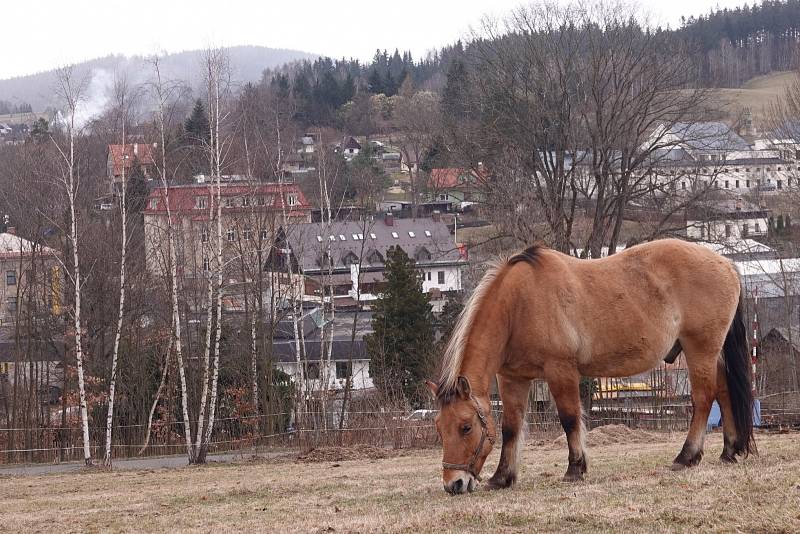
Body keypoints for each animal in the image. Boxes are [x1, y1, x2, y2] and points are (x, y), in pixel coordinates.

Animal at [428, 241, 752, 496]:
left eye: (466, 427)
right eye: (440, 428)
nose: (454, 484)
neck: (519, 303)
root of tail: (725, 264)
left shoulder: (560, 370)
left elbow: (570, 418)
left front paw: (575, 468)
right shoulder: (513, 378)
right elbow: (511, 427)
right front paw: (502, 477)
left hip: (700, 350)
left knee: (703, 398)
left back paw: (687, 456)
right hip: (711, 354)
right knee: (724, 393)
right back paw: (729, 450)